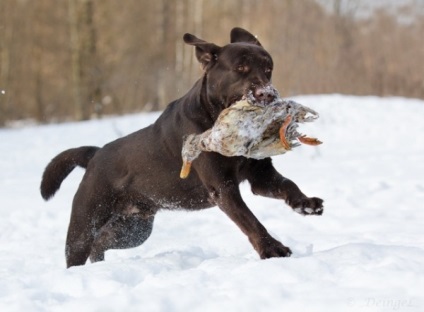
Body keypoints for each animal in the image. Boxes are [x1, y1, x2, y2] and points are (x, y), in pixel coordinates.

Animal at [41, 27, 322, 268]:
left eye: (268, 69)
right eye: (240, 68)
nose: (268, 93)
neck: (213, 115)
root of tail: (95, 154)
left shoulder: (259, 176)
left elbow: (287, 185)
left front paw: (306, 203)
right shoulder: (222, 187)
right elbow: (250, 221)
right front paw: (272, 249)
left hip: (134, 228)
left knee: (101, 242)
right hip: (85, 222)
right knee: (79, 250)